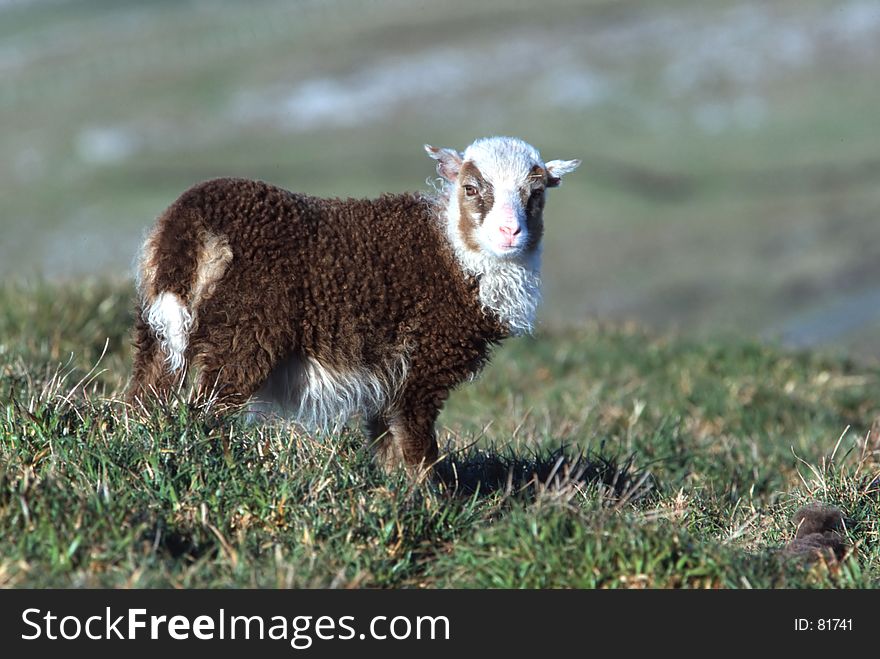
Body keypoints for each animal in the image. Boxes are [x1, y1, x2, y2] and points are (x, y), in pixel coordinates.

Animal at [131, 135, 580, 474]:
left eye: (535, 194)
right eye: (471, 189)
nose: (510, 231)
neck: (455, 252)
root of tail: (189, 223)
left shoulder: (387, 378)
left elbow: (387, 441)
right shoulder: (422, 366)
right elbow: (417, 446)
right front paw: (429, 501)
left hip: (158, 322)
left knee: (147, 393)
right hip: (244, 333)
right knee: (208, 412)